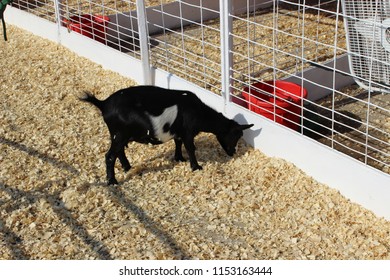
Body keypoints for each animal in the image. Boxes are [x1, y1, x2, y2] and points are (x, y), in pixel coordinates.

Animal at [80, 85, 254, 186]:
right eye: (236, 135)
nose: (233, 152)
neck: (198, 111)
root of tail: (103, 104)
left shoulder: (178, 131)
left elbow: (178, 143)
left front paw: (179, 158)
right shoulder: (188, 131)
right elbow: (190, 147)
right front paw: (196, 166)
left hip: (117, 134)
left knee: (119, 151)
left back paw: (127, 167)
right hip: (120, 133)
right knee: (110, 156)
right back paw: (112, 181)